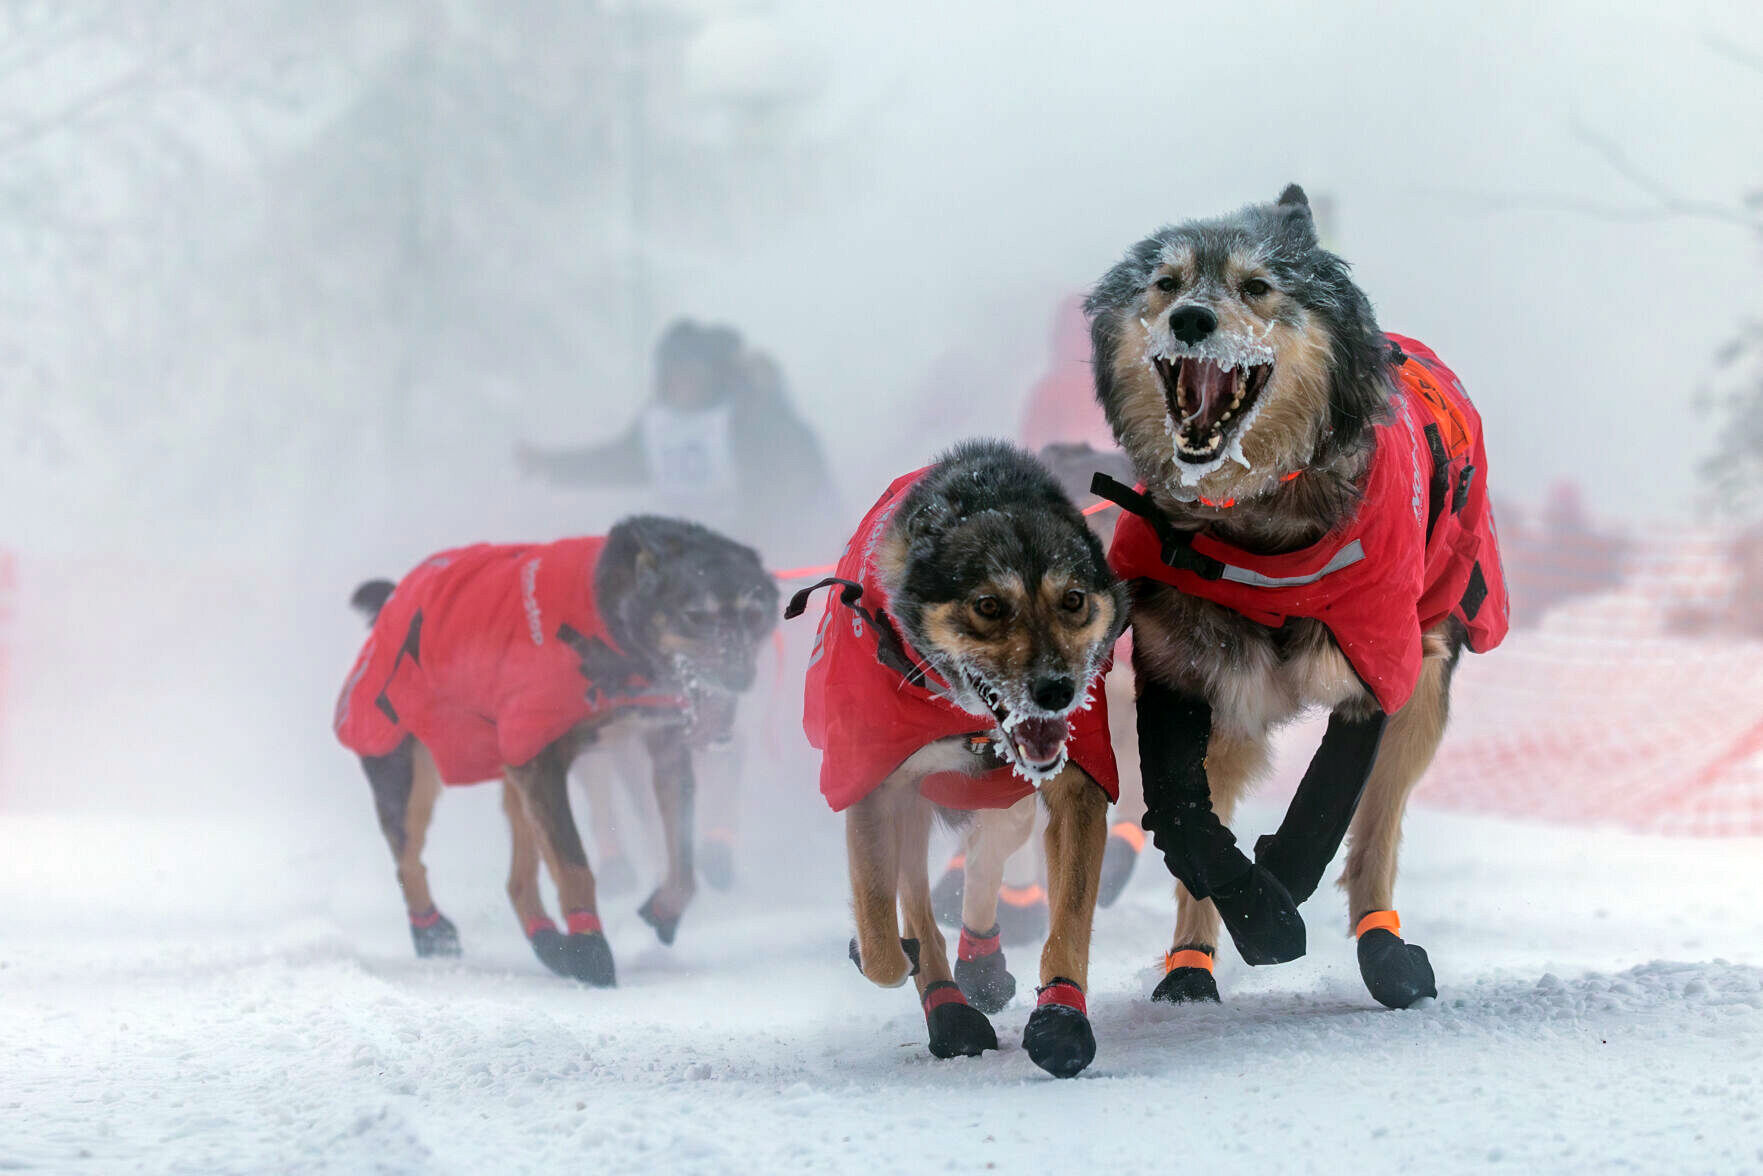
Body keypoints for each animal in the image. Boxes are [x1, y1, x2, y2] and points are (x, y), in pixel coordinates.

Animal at [333, 518, 775, 987]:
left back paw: (546, 941)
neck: (609, 621)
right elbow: (574, 864)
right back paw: (432, 933)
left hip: (510, 772)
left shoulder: (664, 746)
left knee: (517, 879)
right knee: (409, 860)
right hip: (403, 766)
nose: (740, 678)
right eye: (695, 615)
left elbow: (683, 861)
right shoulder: (539, 756)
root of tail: (395, 597)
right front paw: (590, 948)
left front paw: (662, 912)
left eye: (753, 614)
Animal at [789, 446, 1128, 1079]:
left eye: (1073, 600)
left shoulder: (1075, 785)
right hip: (914, 807)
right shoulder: (876, 788)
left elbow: (1069, 917)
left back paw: (981, 965)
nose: (1057, 691)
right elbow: (884, 941)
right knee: (915, 900)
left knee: (986, 862)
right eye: (988, 606)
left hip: (1005, 807)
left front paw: (1062, 1018)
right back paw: (948, 1007)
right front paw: (898, 958)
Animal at [1086, 191, 1516, 1015]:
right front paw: (1254, 910)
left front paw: (1277, 892)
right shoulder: (1176, 673)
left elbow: (1324, 810)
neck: (1258, 534)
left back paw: (1386, 952)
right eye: (1165, 282)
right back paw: (1190, 964)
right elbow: (1183, 816)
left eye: (1257, 287)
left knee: (1375, 835)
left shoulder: (1377, 668)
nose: (1191, 318)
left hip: (1424, 694)